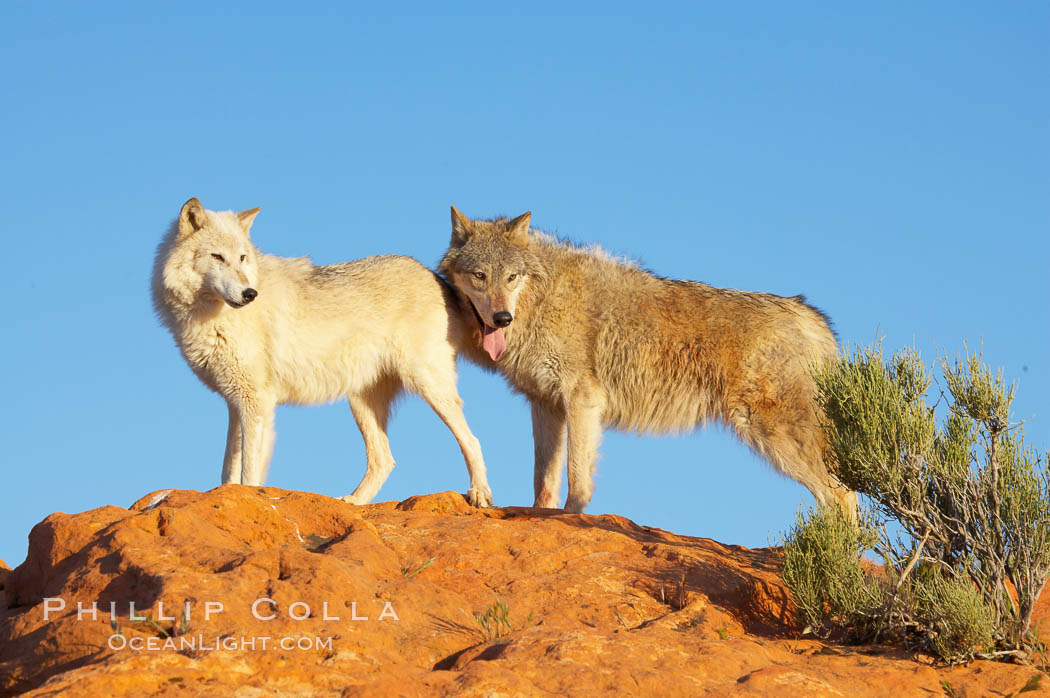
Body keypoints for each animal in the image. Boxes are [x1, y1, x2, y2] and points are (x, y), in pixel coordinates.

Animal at [153, 196, 495, 505]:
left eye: (241, 258)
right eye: (217, 257)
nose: (249, 294)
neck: (210, 317)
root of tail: (437, 278)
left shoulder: (256, 402)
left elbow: (249, 471)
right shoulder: (236, 403)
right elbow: (228, 468)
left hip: (427, 385)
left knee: (473, 440)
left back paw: (480, 493)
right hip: (361, 401)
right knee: (385, 459)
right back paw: (353, 502)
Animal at [438, 204, 856, 514]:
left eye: (511, 277)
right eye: (480, 276)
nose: (501, 318)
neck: (541, 301)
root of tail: (810, 316)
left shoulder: (582, 399)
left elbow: (577, 479)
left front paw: (572, 519)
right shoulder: (545, 404)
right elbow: (544, 482)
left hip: (772, 433)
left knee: (842, 495)